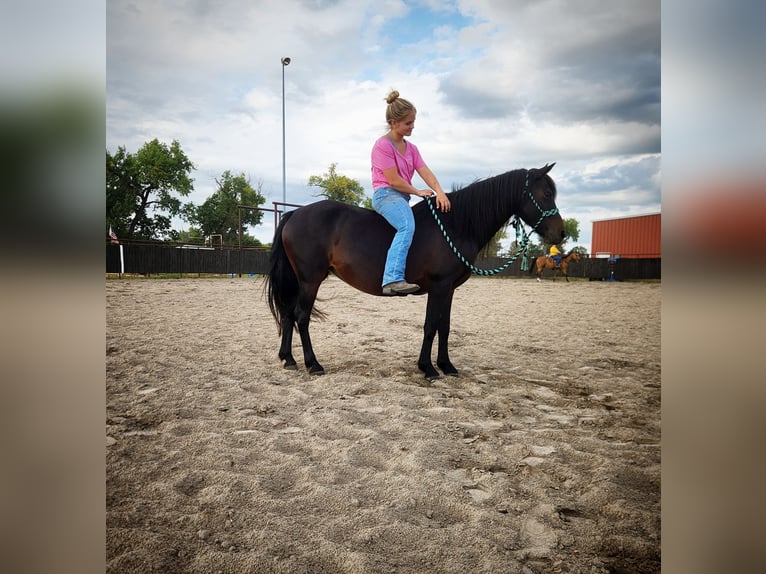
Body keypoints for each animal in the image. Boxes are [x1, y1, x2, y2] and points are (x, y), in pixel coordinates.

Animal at [268, 163, 568, 382]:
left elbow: (445, 326)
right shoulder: (439, 286)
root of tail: (294, 215)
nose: (561, 233)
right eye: (545, 194)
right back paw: (313, 364)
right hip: (310, 280)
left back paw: (289, 359)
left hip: (298, 281)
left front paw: (447, 366)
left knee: (288, 313)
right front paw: (428, 368)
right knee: (301, 317)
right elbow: (430, 326)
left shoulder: (449, 289)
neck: (455, 225)